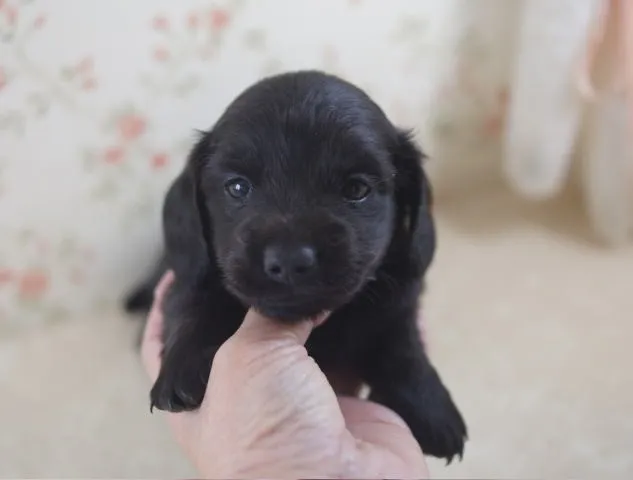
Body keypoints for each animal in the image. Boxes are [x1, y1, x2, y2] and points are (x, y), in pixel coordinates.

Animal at [126, 69, 466, 464]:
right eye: (237, 187)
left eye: (357, 189)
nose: (289, 260)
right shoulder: (190, 277)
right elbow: (194, 303)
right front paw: (183, 364)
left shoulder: (399, 297)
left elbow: (402, 343)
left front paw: (431, 408)